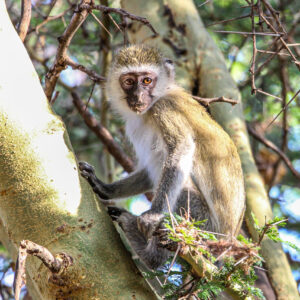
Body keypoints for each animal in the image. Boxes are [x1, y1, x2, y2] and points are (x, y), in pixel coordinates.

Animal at [80, 44, 246, 270]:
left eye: (147, 81)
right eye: (129, 81)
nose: (138, 96)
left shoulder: (165, 109)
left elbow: (181, 148)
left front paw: (152, 216)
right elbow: (151, 171)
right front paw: (103, 187)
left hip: (204, 228)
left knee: (183, 187)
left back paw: (151, 256)